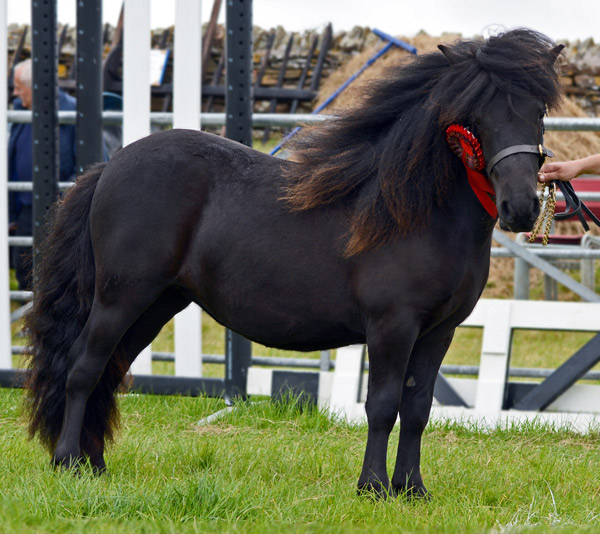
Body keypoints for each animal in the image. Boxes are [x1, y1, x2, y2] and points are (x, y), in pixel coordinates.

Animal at [25, 29, 564, 498]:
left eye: (537, 111)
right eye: (476, 115)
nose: (520, 206)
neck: (413, 210)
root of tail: (108, 167)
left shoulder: (439, 332)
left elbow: (416, 409)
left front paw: (412, 489)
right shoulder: (392, 327)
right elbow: (382, 405)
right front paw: (373, 487)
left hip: (157, 304)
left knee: (108, 371)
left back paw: (94, 464)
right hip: (121, 296)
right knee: (83, 367)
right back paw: (67, 462)